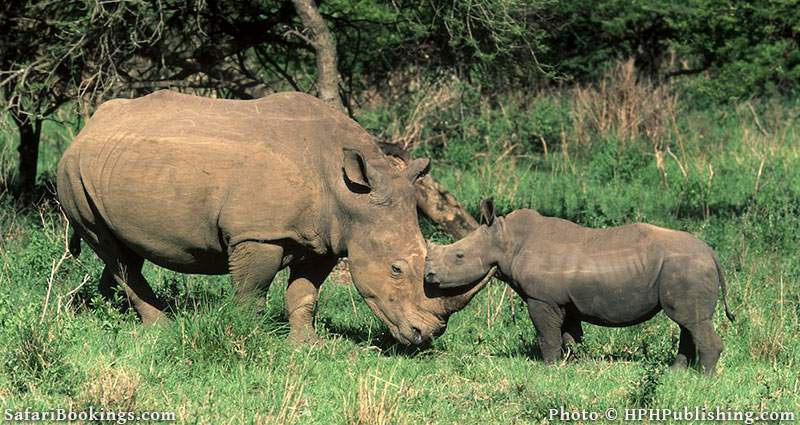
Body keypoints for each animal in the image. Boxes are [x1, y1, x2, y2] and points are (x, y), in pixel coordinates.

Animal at [59, 90, 484, 344]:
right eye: (396, 269)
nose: (426, 335)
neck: (349, 193)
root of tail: (87, 127)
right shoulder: (257, 234)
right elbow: (252, 294)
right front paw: (248, 337)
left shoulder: (327, 239)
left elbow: (305, 293)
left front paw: (307, 345)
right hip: (71, 174)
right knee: (109, 247)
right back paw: (159, 328)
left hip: (108, 166)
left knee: (123, 252)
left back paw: (113, 310)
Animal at [428, 197, 736, 372]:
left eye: (458, 256)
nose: (428, 276)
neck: (506, 239)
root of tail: (712, 253)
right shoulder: (564, 301)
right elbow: (569, 335)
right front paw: (572, 364)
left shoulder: (542, 299)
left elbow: (547, 334)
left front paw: (550, 368)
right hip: (686, 268)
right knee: (688, 322)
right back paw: (677, 373)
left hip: (687, 267)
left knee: (691, 321)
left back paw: (703, 377)